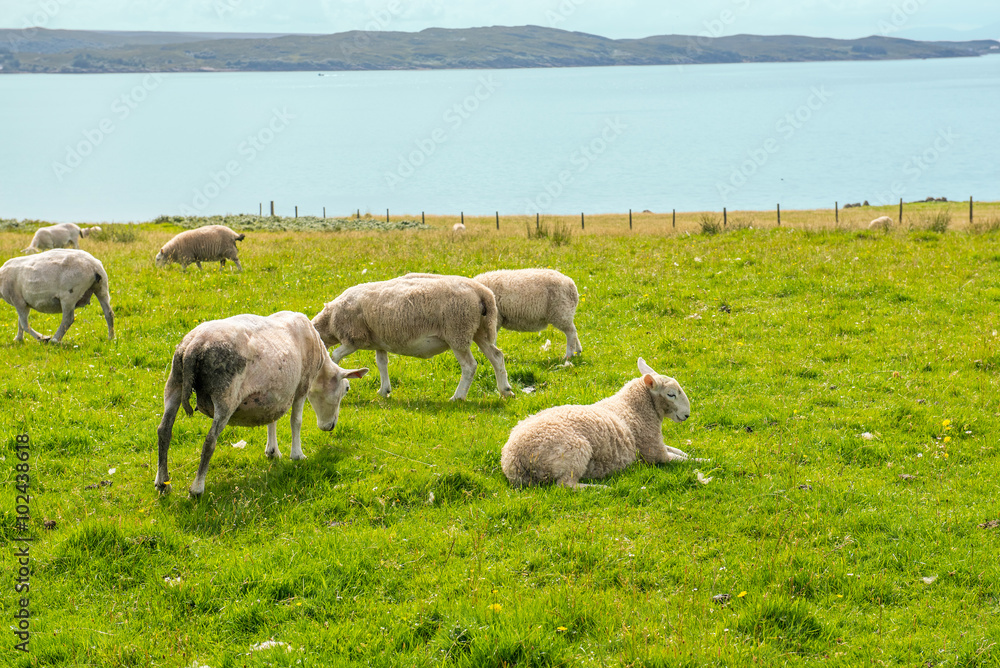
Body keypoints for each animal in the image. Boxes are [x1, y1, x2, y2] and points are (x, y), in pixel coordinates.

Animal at [154, 311, 369, 497]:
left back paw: (163, 483)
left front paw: (272, 451)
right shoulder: (302, 385)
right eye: (346, 388)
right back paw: (197, 489)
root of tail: (193, 347)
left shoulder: (273, 393)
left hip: (174, 381)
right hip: (225, 394)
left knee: (164, 430)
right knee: (209, 441)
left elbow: (271, 419)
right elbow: (296, 421)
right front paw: (297, 455)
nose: (330, 427)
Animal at [311, 273, 515, 401]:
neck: (329, 320)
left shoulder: (353, 338)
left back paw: (458, 396)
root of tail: (482, 293)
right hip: (480, 330)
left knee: (469, 366)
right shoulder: (379, 341)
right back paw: (505, 390)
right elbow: (381, 363)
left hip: (457, 331)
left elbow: (335, 355)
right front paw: (384, 390)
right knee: (496, 356)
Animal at [501, 358, 698, 488]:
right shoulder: (653, 454)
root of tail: (513, 460)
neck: (634, 407)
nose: (687, 415)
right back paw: (601, 488)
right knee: (566, 485)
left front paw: (691, 453)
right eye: (671, 394)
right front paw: (703, 460)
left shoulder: (657, 445)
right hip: (574, 451)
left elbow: (679, 451)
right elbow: (683, 459)